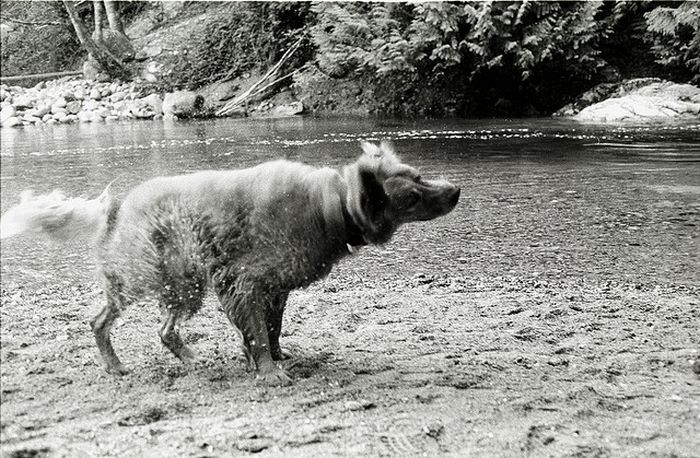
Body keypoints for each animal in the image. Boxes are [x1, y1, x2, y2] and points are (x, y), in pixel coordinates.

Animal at [2, 141, 460, 384]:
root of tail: (117, 208)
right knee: (100, 321)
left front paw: (275, 358)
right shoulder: (243, 284)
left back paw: (191, 361)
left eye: (419, 175)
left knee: (165, 330)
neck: (327, 205)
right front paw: (269, 373)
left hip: (185, 287)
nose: (455, 189)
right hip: (139, 280)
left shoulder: (273, 288)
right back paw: (114, 365)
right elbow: (256, 334)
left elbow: (270, 332)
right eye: (412, 196)